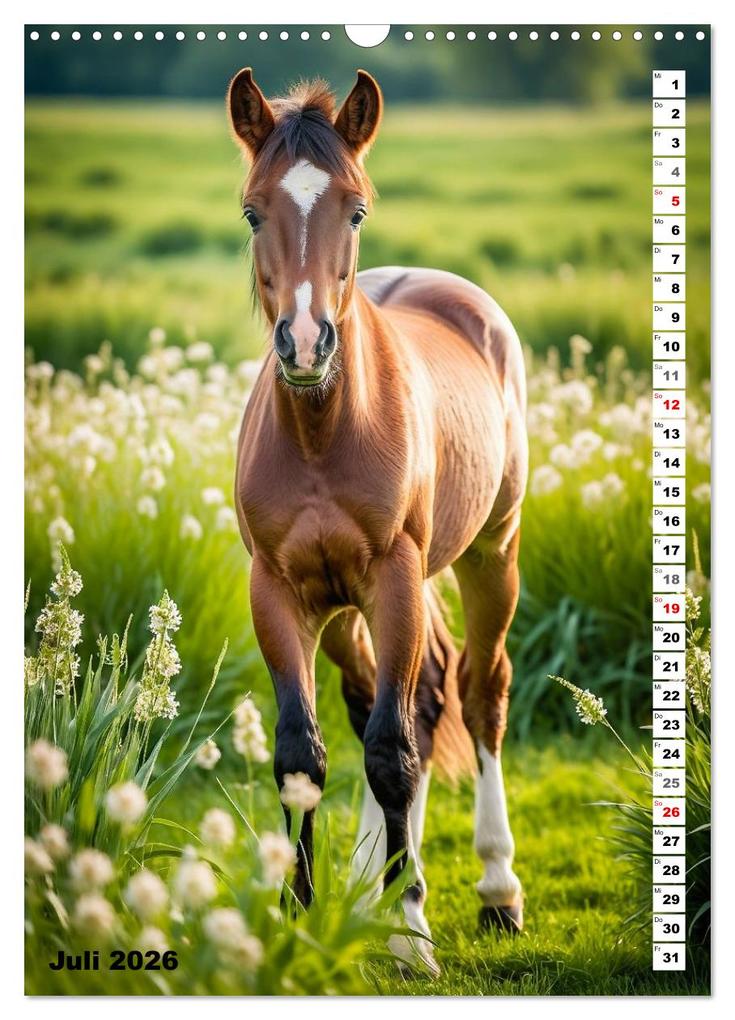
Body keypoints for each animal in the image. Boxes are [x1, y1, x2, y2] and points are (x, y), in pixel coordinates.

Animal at [227, 68, 528, 975]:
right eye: (253, 211)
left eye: (354, 209)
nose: (304, 344)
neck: (326, 434)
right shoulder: (281, 592)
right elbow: (305, 755)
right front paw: (300, 920)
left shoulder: (395, 580)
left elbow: (393, 757)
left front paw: (411, 939)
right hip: (347, 610)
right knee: (394, 701)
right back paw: (373, 891)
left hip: (488, 555)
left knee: (476, 691)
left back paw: (493, 891)